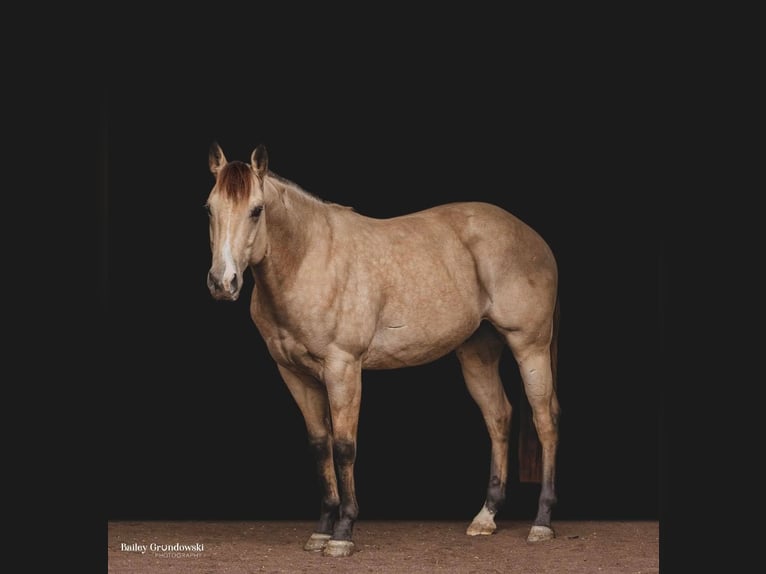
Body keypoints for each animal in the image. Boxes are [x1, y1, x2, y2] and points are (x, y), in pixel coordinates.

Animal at [207, 143, 560, 560]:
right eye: (209, 208)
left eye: (257, 210)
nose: (222, 283)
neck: (310, 258)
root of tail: (533, 238)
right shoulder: (293, 374)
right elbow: (320, 446)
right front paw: (322, 529)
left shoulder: (343, 368)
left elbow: (344, 447)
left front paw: (343, 532)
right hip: (477, 353)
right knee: (499, 417)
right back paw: (485, 517)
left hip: (530, 346)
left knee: (545, 420)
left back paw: (541, 522)